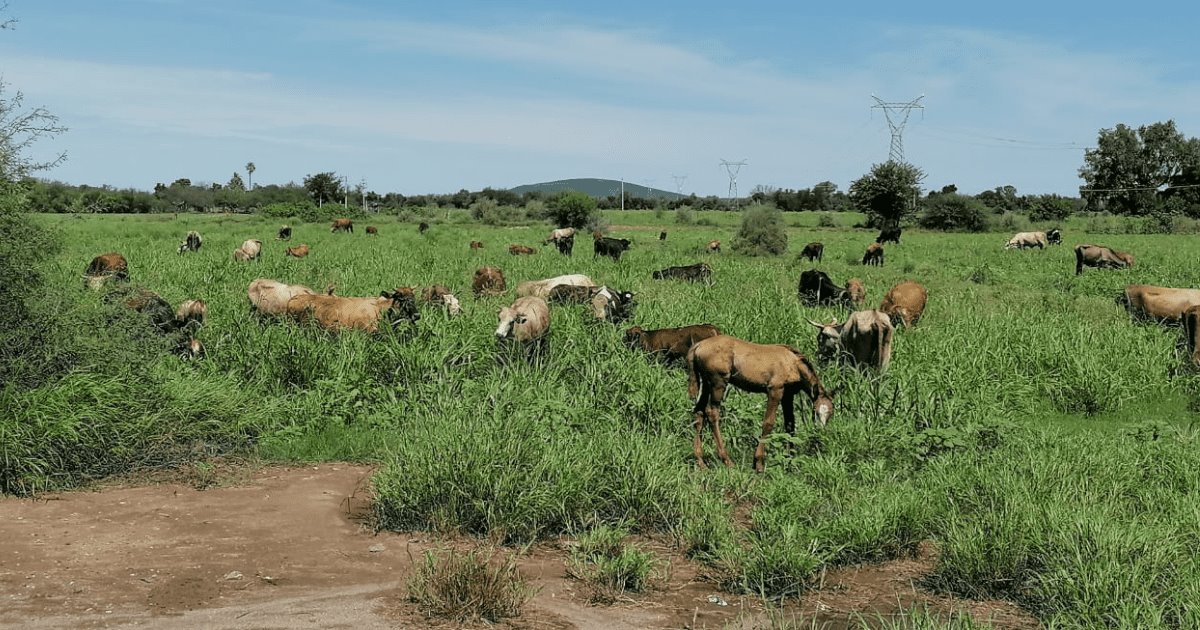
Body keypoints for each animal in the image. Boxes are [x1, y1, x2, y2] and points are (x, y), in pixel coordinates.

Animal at [686, 333, 835, 470]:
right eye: (815, 411)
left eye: (830, 414)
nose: (820, 431)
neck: (793, 363)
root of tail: (698, 346)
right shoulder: (775, 390)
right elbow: (768, 423)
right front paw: (758, 463)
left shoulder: (788, 395)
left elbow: (790, 424)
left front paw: (790, 459)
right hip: (718, 383)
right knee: (712, 412)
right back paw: (727, 460)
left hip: (706, 384)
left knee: (699, 411)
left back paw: (700, 461)